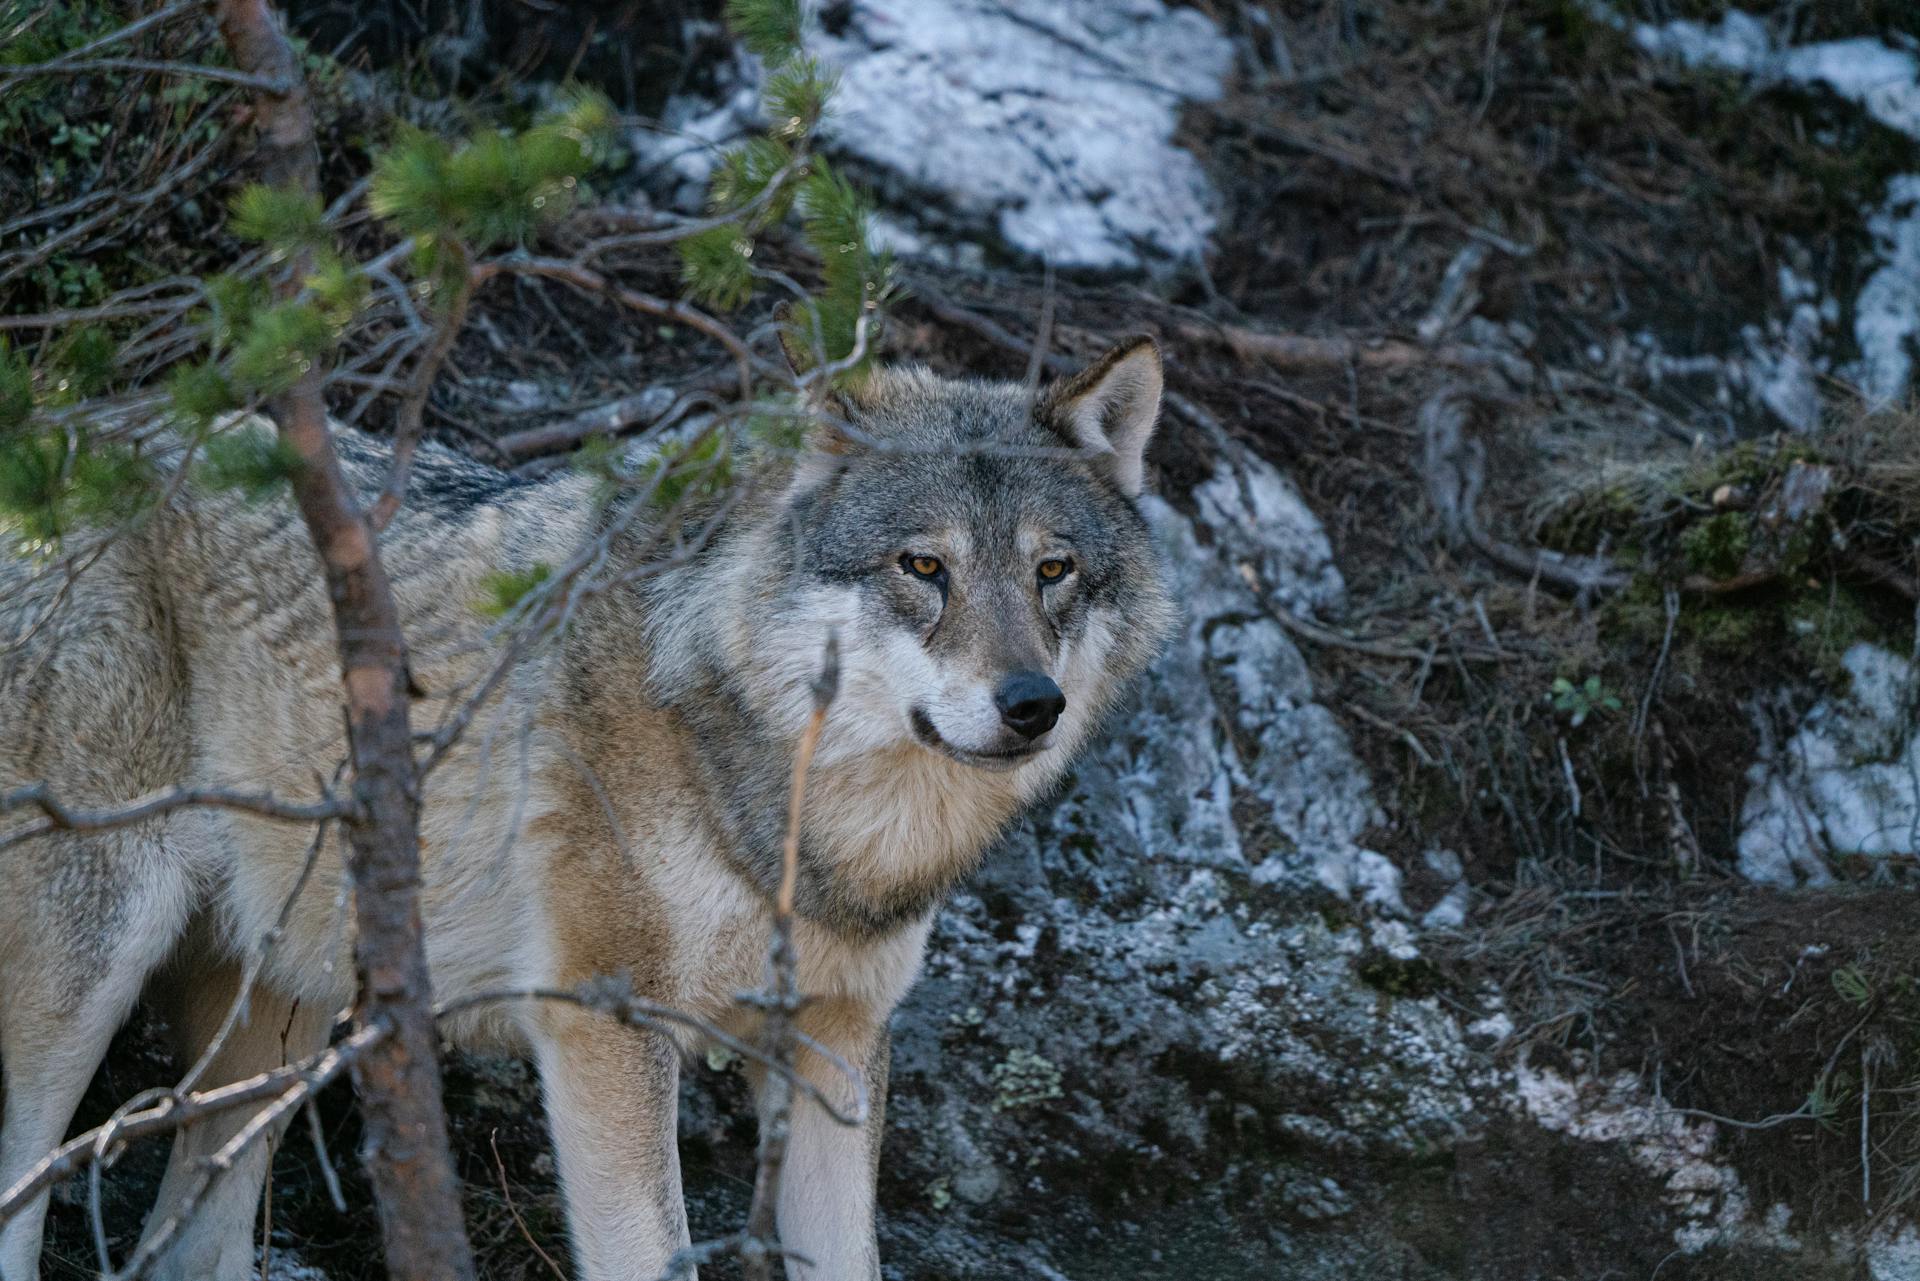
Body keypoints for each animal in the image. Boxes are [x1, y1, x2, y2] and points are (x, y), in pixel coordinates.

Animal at [0, 336, 1175, 1275]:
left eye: (1054, 571)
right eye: (923, 565)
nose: (1031, 704)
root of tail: (52, 422)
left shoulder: (838, 1041)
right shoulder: (608, 1027)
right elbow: (653, 1253)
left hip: (280, 1019)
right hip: (93, 970)